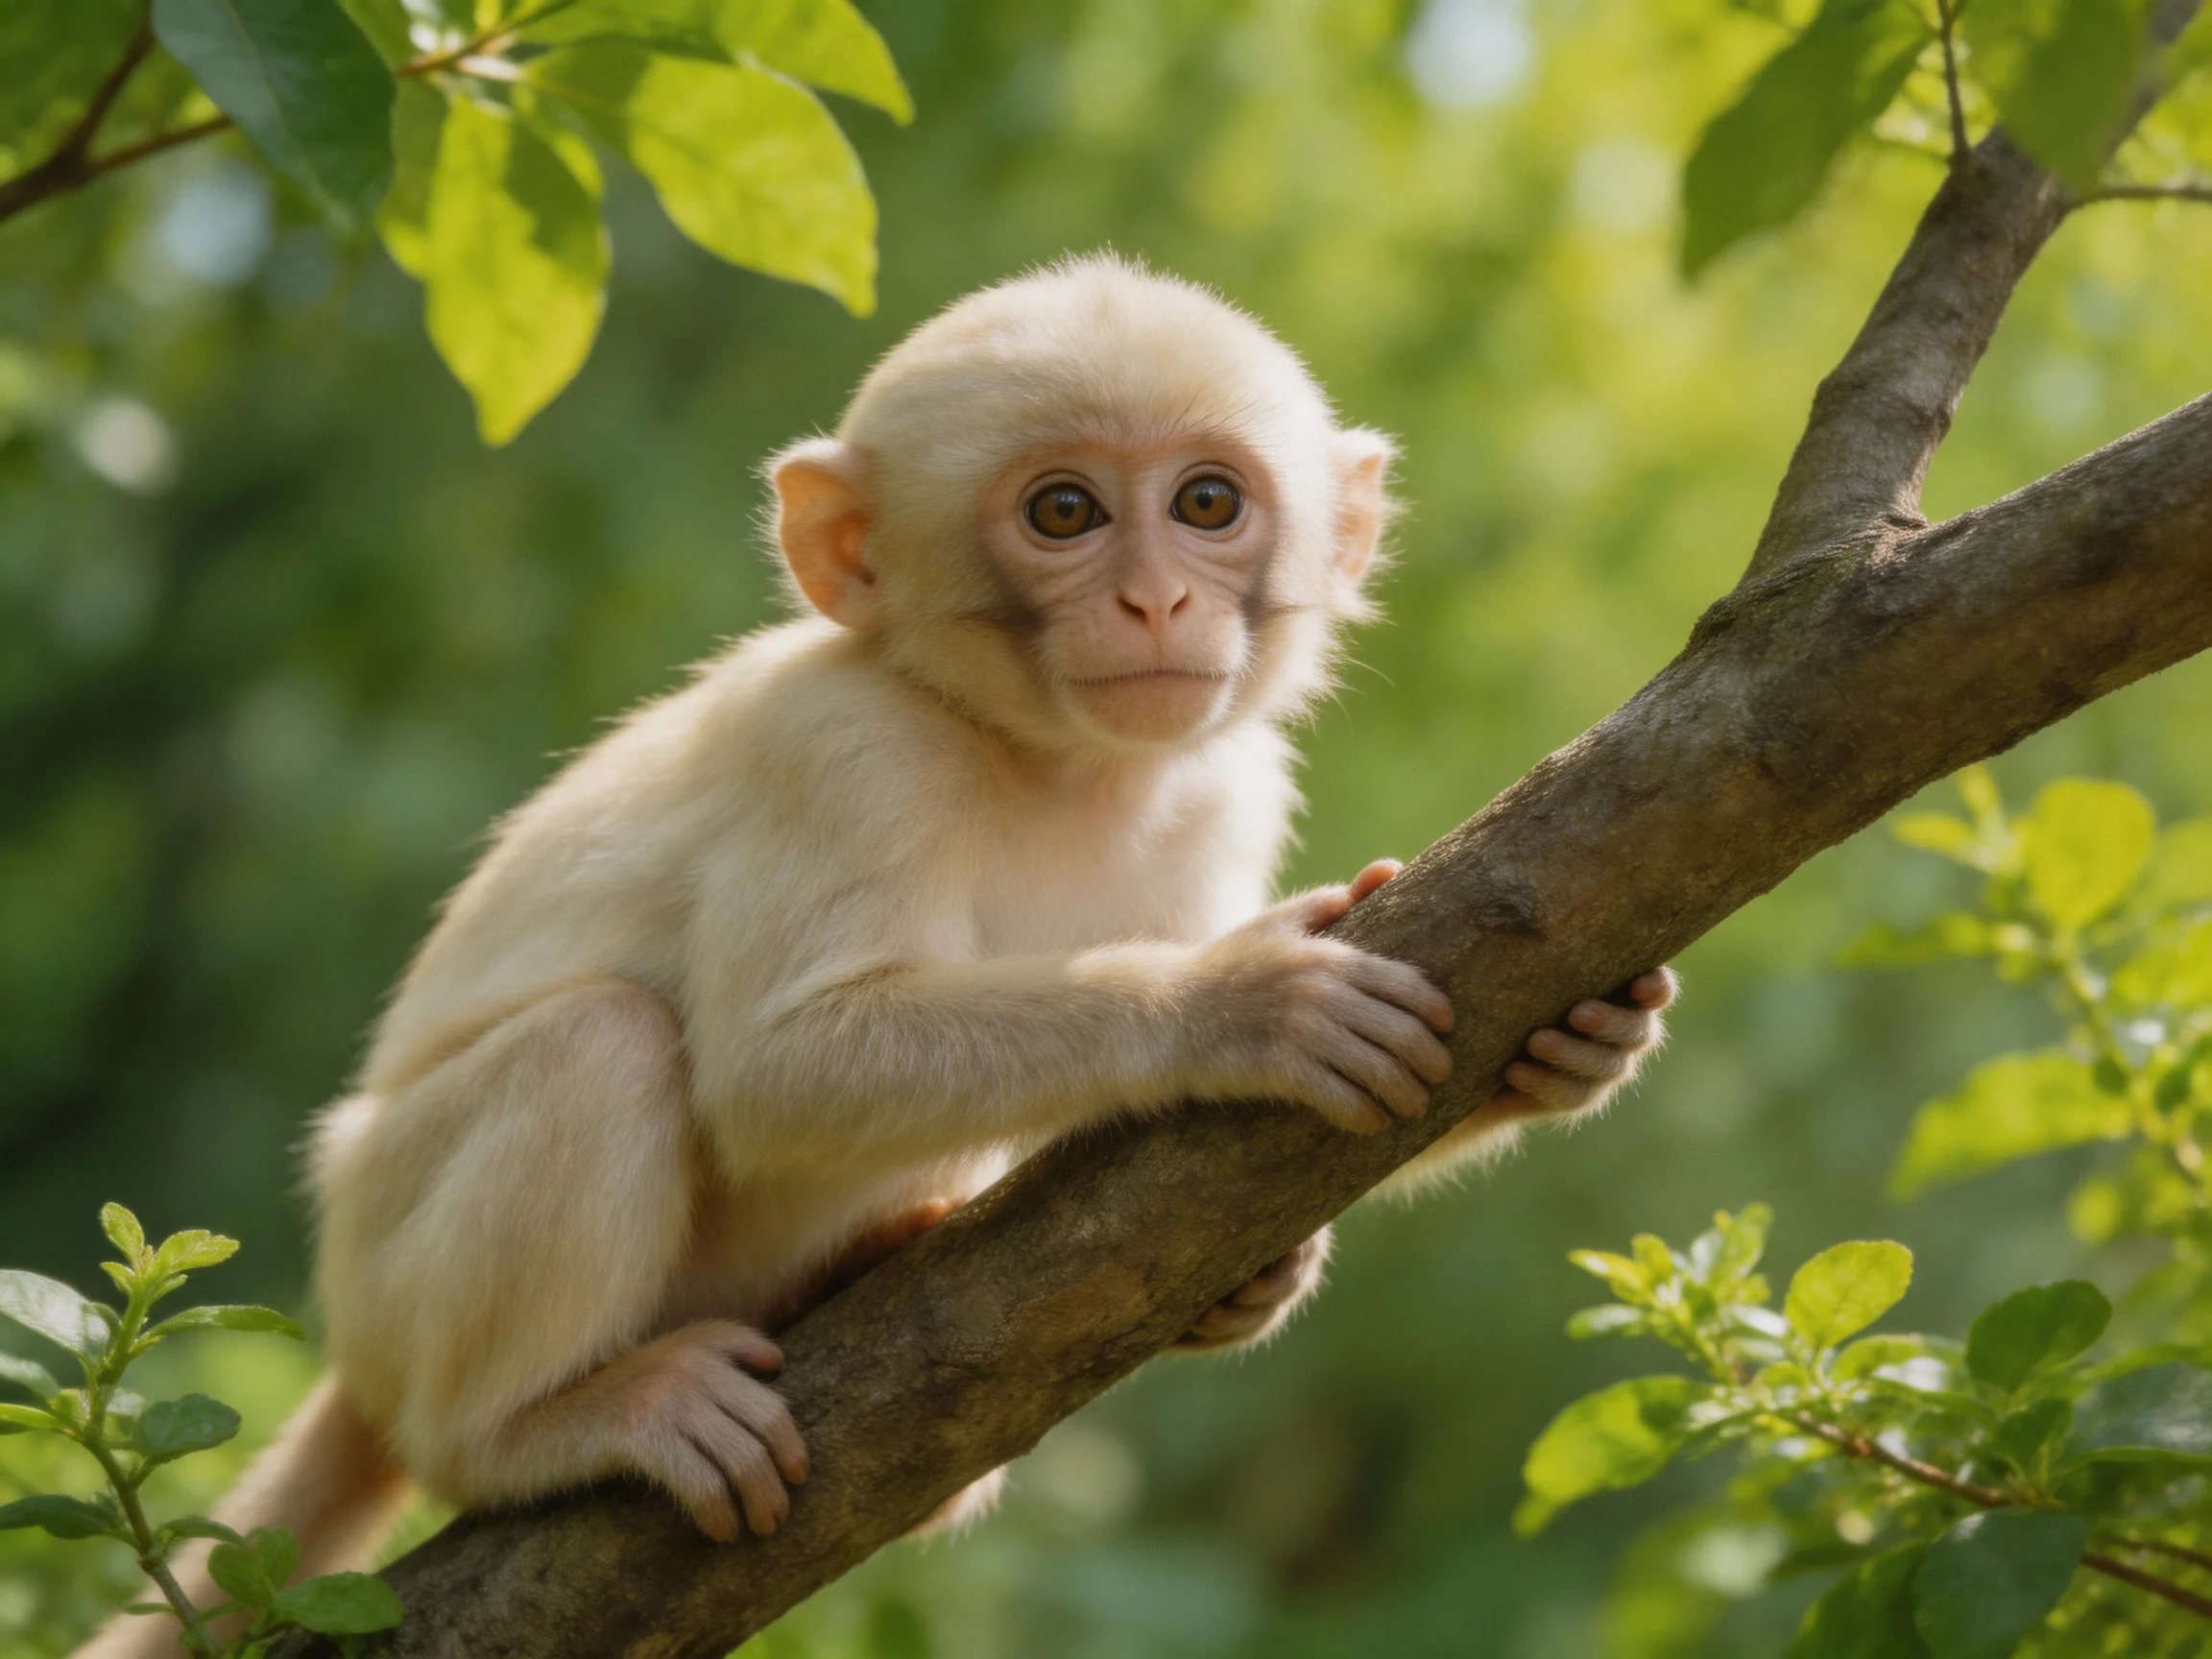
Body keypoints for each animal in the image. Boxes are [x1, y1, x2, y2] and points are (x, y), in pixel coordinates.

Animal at [78, 256, 1671, 1659]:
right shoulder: (845, 750)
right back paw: (532, 1429)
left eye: (1207, 504)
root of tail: (358, 1354)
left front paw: (1559, 1054)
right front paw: (1238, 1005)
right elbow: (774, 1066)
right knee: (597, 1047)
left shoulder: (1227, 786)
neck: (1045, 760)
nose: (1157, 600)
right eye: (1066, 511)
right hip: (385, 1269)